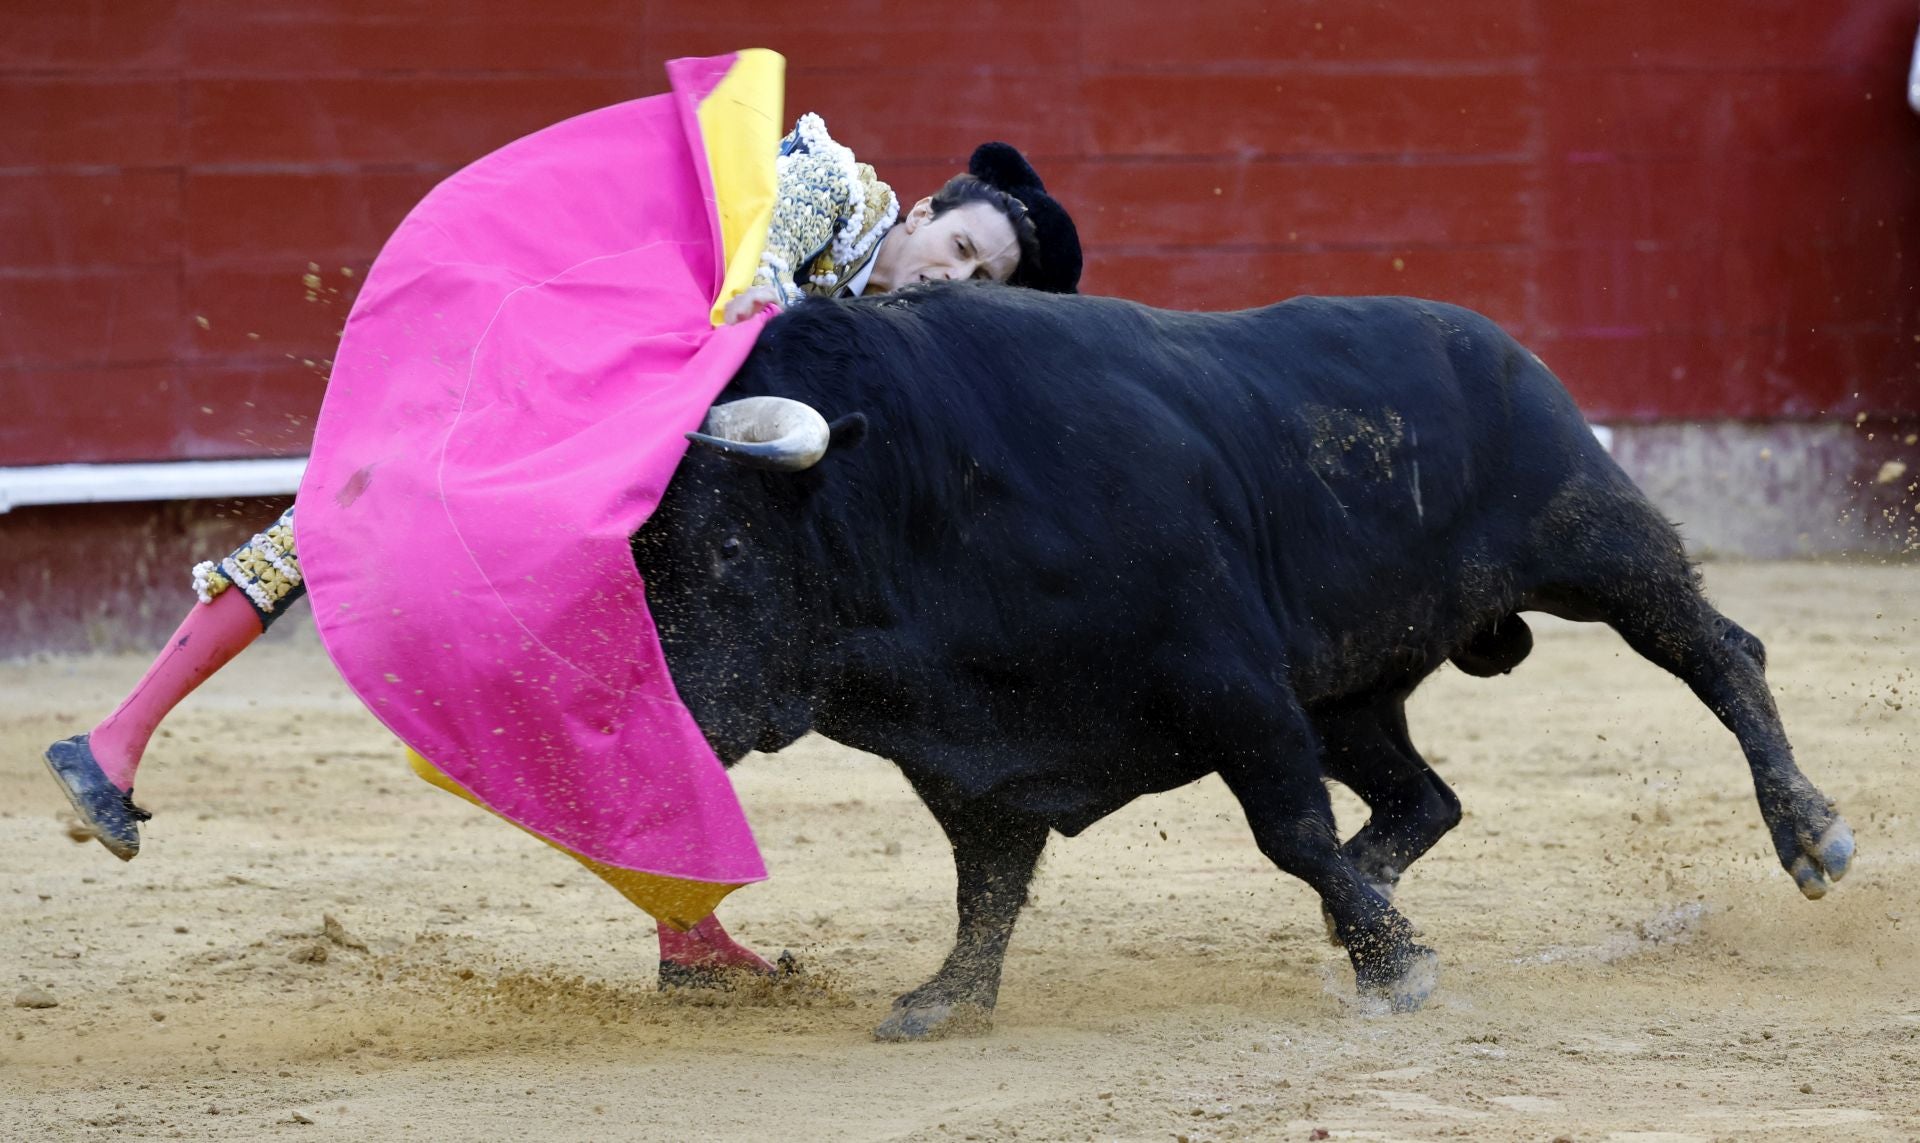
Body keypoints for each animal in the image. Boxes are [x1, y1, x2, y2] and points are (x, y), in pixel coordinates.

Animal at [633, 284, 1858, 1037]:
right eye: (631, 561)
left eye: (727, 545)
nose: (669, 725)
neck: (923, 488)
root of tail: (1499, 343)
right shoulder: (976, 758)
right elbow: (985, 882)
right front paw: (946, 998)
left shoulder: (1233, 684)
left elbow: (1290, 833)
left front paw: (1393, 966)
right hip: (1352, 694)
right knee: (1428, 795)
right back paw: (1373, 885)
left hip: (1597, 544)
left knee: (1722, 656)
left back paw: (1809, 830)